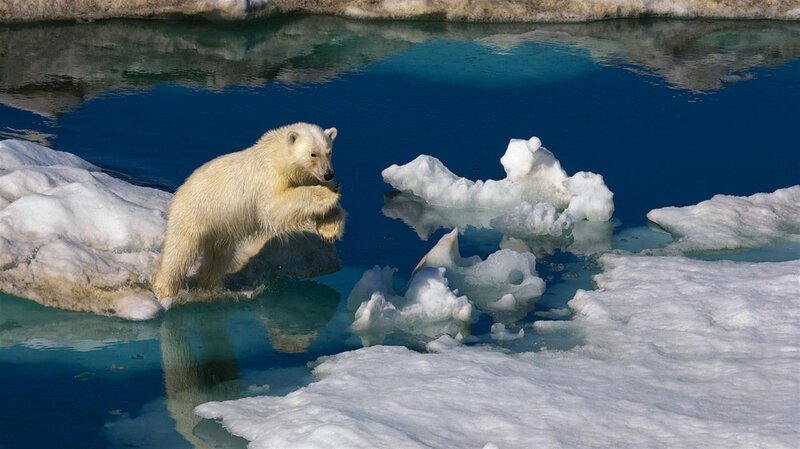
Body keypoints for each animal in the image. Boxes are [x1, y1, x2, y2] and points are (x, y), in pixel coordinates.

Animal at [151, 122, 345, 300]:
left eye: (329, 152)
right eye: (313, 154)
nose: (329, 174)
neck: (276, 155)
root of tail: (178, 192)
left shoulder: (302, 177)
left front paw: (329, 229)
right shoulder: (268, 178)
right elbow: (274, 209)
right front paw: (328, 192)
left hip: (219, 229)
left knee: (217, 259)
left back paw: (207, 285)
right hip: (192, 214)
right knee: (178, 253)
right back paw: (164, 289)